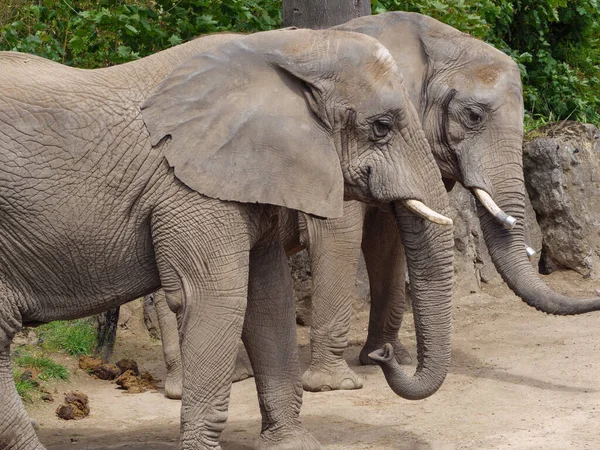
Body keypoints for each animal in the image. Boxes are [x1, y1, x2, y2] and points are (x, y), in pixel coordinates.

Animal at [0, 27, 454, 450]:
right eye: (382, 127)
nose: (382, 355)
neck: (287, 49)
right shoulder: (192, 190)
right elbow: (216, 298)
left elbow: (270, 296)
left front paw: (293, 444)